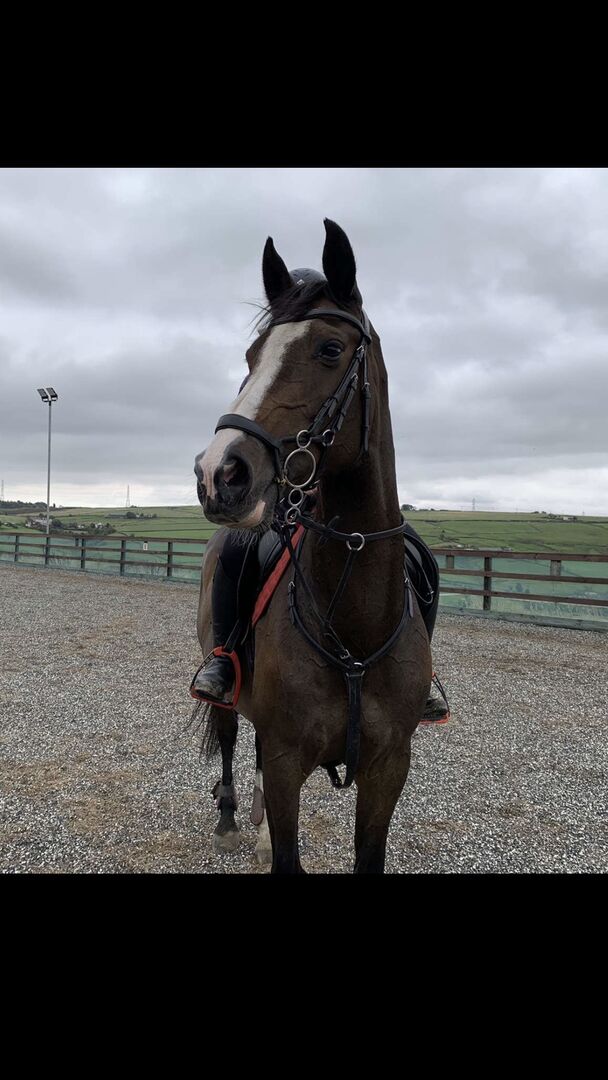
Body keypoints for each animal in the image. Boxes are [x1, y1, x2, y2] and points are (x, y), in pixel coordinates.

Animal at [192, 219, 432, 873]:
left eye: (329, 349)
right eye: (252, 357)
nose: (218, 472)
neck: (354, 627)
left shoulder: (389, 768)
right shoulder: (284, 763)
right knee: (230, 736)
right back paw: (230, 820)